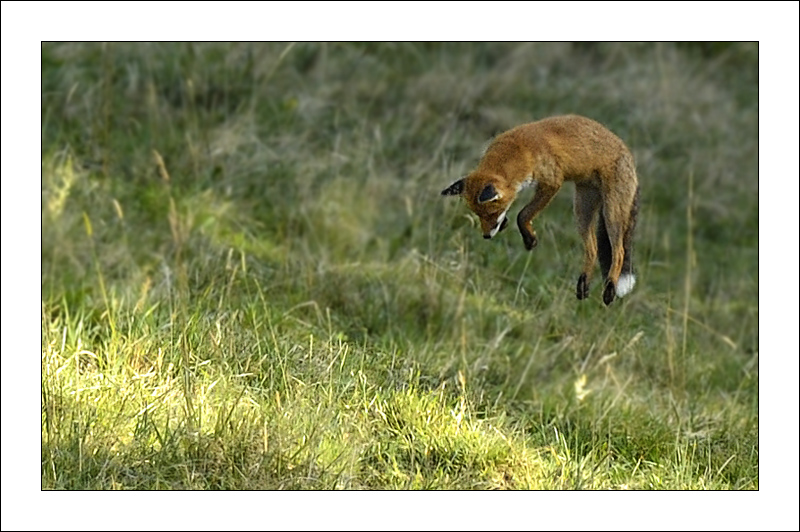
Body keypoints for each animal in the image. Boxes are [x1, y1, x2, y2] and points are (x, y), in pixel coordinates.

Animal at [441, 114, 640, 306]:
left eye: (491, 213)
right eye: (478, 215)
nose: (486, 236)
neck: (520, 151)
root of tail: (628, 154)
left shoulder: (552, 183)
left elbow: (522, 215)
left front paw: (529, 240)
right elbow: (521, 215)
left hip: (611, 213)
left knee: (619, 251)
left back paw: (610, 289)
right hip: (582, 211)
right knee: (593, 248)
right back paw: (583, 285)